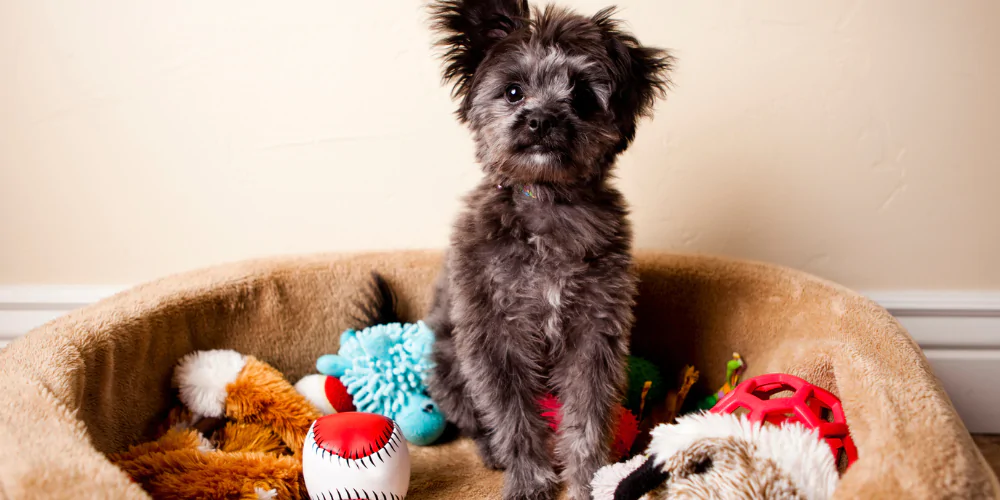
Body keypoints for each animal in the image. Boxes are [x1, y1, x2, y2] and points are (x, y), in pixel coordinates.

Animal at [422, 1, 672, 498]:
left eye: (583, 97)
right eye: (513, 91)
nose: (541, 120)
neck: (547, 204)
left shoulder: (594, 334)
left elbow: (589, 419)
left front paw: (587, 481)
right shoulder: (496, 338)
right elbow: (514, 419)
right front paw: (529, 480)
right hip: (448, 368)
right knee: (477, 423)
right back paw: (492, 453)